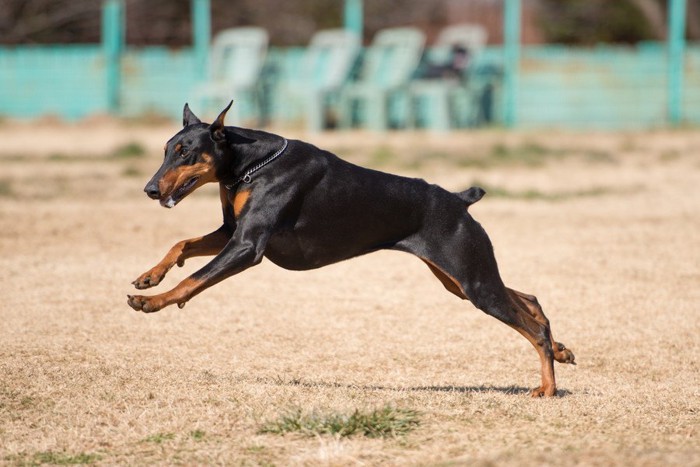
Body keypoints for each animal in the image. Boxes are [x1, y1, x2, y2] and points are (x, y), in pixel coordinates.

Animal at [127, 103, 576, 398]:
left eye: (185, 151)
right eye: (165, 150)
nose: (149, 190)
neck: (251, 165)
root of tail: (457, 200)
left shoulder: (247, 245)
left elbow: (193, 280)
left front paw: (153, 302)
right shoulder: (230, 232)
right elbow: (182, 244)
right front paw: (150, 277)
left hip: (472, 278)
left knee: (530, 326)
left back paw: (547, 387)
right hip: (459, 280)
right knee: (529, 300)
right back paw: (561, 349)